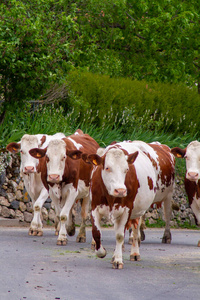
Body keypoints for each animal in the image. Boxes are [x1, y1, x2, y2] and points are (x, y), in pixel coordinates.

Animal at [86, 141, 175, 270]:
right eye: (107, 168)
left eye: (126, 169)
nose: (120, 190)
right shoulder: (95, 208)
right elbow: (96, 232)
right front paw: (102, 252)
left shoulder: (126, 210)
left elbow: (119, 236)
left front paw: (118, 260)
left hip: (143, 208)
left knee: (136, 231)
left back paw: (135, 253)